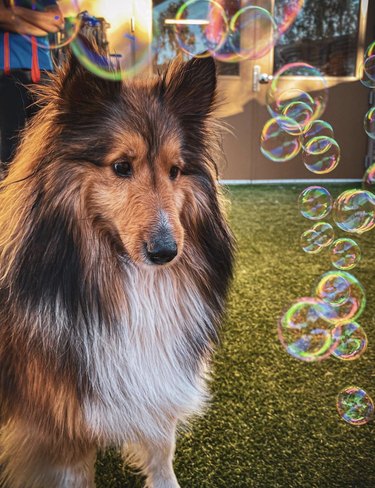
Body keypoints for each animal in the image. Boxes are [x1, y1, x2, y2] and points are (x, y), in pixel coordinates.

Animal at [0, 43, 235, 488]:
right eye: (121, 167)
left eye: (175, 170)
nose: (166, 252)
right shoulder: (61, 429)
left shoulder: (156, 385)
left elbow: (162, 451)